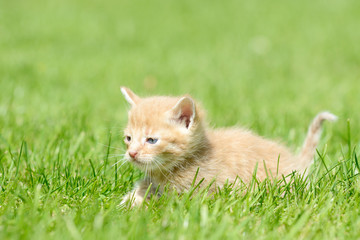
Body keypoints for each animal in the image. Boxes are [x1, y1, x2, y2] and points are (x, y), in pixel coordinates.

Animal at [119, 87, 336, 205]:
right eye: (128, 138)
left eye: (151, 140)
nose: (132, 153)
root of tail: (296, 163)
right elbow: (144, 187)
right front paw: (127, 202)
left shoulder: (200, 190)